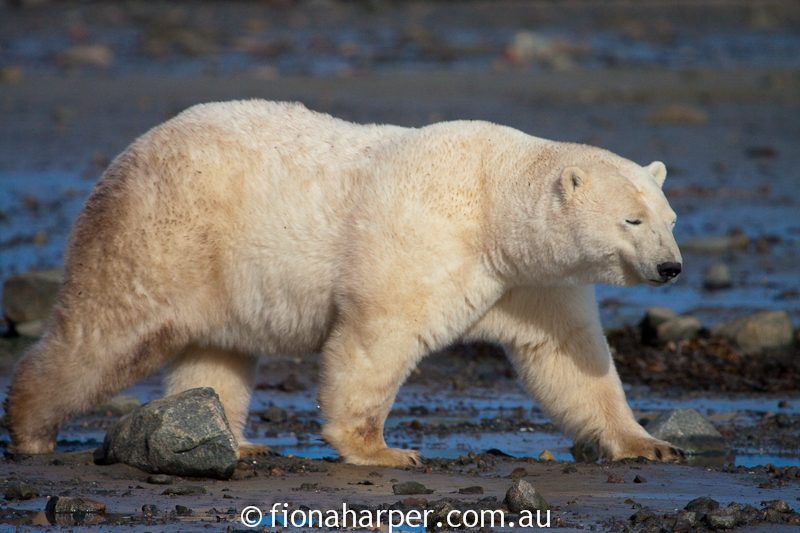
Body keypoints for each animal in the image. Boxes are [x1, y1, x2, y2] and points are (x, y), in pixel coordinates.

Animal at [3, 101, 684, 466]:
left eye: (669, 218)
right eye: (632, 219)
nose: (671, 268)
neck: (491, 204)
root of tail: (128, 153)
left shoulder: (530, 281)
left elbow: (569, 356)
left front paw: (649, 443)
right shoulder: (422, 238)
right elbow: (379, 336)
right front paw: (382, 449)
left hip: (217, 275)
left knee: (216, 358)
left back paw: (238, 444)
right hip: (159, 240)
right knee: (107, 335)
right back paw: (32, 428)